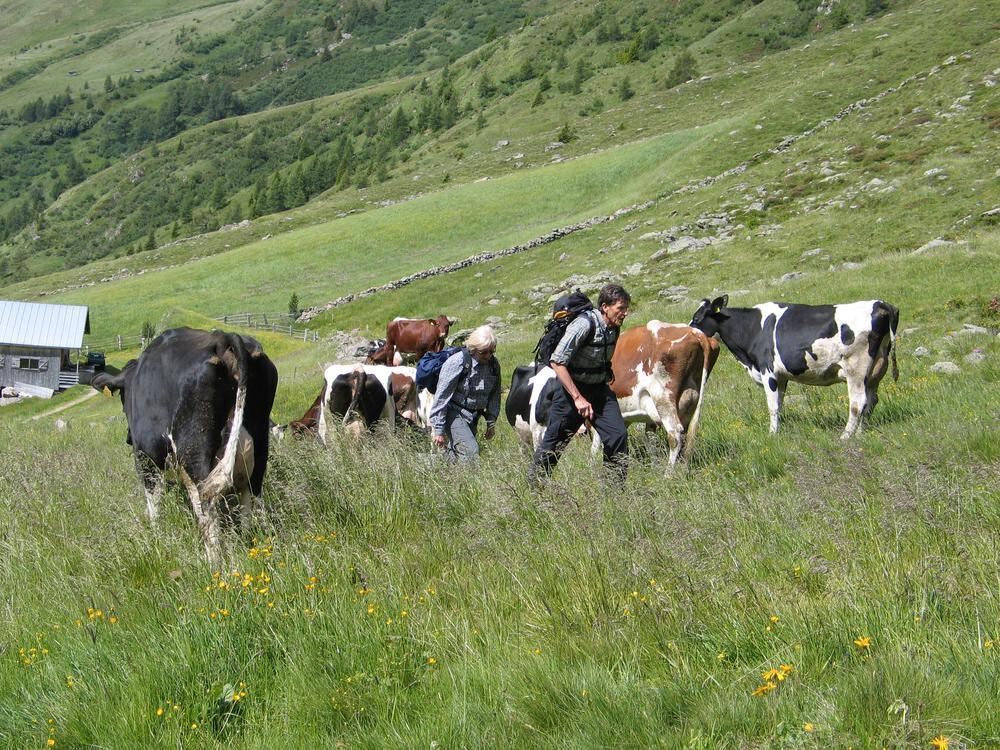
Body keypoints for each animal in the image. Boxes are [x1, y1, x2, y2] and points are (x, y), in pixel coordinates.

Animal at [93, 326, 278, 568]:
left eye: (123, 398)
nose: (127, 438)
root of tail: (222, 338)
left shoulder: (146, 458)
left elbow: (154, 504)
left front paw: (156, 540)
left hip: (195, 453)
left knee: (208, 504)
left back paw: (212, 565)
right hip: (259, 443)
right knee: (253, 494)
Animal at [508, 322, 720, 468]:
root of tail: (696, 333)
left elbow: (596, 443)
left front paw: (592, 466)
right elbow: (647, 440)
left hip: (663, 398)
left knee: (675, 434)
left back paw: (668, 475)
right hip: (688, 403)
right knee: (684, 437)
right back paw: (682, 468)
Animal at [688, 296, 900, 440]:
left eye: (697, 318)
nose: (687, 332)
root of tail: (881, 304)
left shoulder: (769, 372)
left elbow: (772, 407)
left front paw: (772, 435)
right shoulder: (781, 377)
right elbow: (780, 406)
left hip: (856, 368)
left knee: (858, 403)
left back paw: (845, 437)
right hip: (876, 370)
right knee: (871, 401)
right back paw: (861, 434)